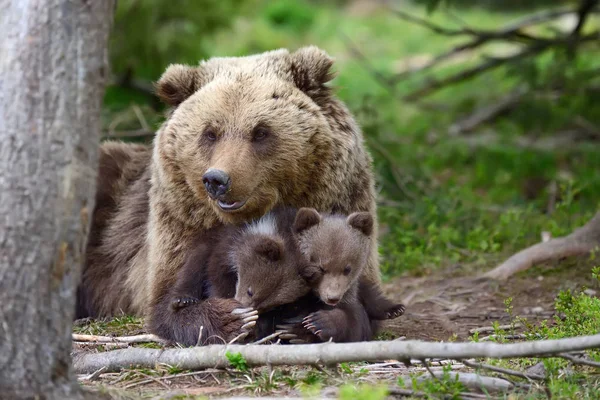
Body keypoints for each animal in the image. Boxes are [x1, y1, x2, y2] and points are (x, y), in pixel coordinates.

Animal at [77, 46, 382, 340]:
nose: (217, 179)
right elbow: (169, 298)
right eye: (210, 133)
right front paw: (229, 316)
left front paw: (312, 321)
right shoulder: (178, 222)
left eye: (261, 131)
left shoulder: (342, 203)